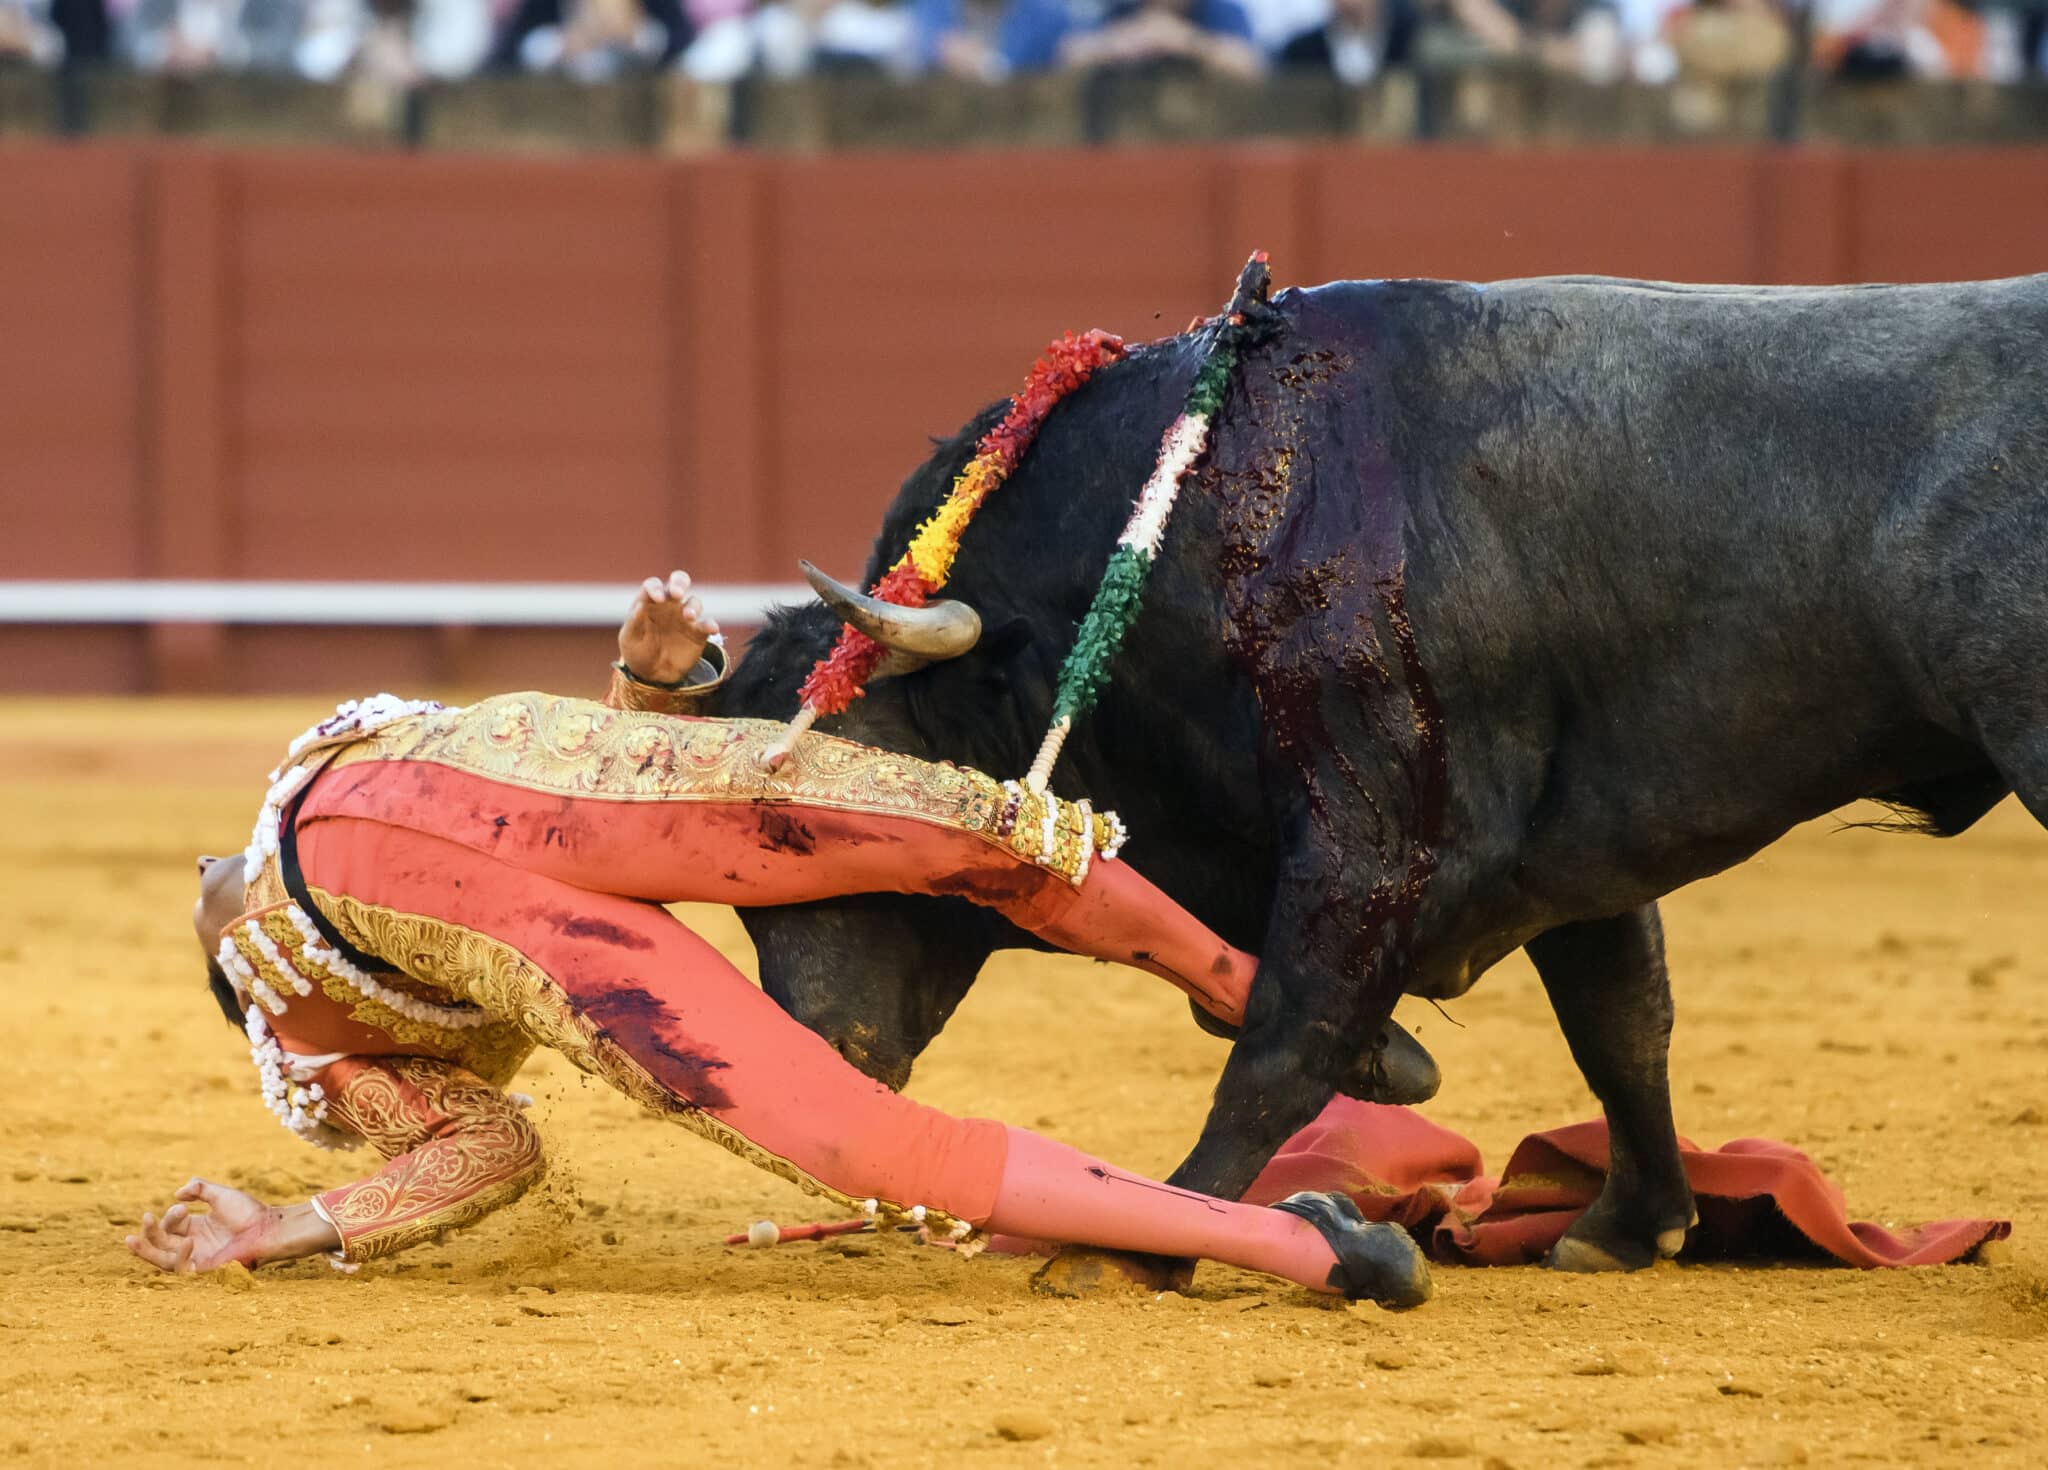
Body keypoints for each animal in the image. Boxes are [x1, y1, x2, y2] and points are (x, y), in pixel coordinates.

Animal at [708, 276, 2048, 1277]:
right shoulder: (1577, 845)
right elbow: (1621, 1019)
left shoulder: (1372, 832)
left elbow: (1285, 1039)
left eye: (816, 825)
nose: (816, 1052)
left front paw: (1143, 1241)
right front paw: (1627, 1225)